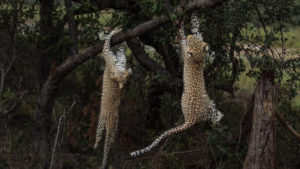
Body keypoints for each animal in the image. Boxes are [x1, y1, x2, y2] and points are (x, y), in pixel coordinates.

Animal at [94, 28, 131, 169]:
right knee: (106, 141)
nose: (123, 82)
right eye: (122, 80)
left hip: (106, 123)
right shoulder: (113, 56)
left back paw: (96, 146)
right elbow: (113, 46)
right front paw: (118, 32)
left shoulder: (113, 56)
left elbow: (112, 46)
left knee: (103, 138)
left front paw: (117, 32)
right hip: (111, 125)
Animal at [130, 16, 224, 157]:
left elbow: (183, 38)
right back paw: (220, 117)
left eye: (191, 41)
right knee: (213, 116)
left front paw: (183, 28)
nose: (190, 36)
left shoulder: (185, 51)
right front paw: (193, 20)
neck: (198, 58)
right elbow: (197, 29)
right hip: (209, 107)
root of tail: (191, 119)